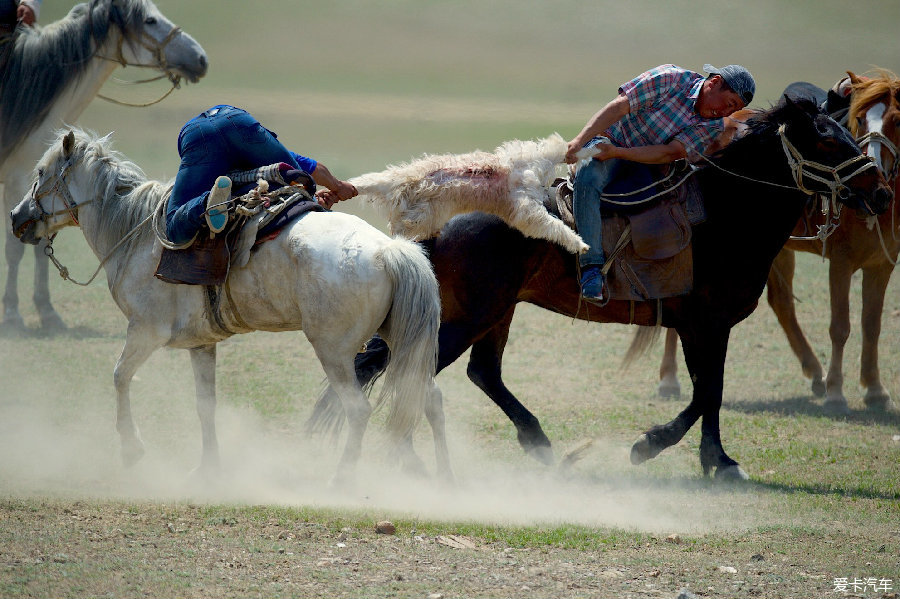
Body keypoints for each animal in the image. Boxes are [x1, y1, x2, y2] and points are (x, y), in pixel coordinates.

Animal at [1, 0, 207, 330]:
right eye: (149, 20)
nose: (200, 59)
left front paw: (46, 311)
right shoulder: (18, 177)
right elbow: (15, 249)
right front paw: (12, 314)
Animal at [10, 129, 450, 486]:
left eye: (40, 173)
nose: (16, 217)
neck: (135, 234)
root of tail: (390, 250)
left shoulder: (146, 330)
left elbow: (119, 376)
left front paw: (132, 450)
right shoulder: (200, 344)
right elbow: (205, 406)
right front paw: (208, 469)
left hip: (335, 352)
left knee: (358, 410)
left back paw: (341, 479)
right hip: (398, 341)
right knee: (429, 398)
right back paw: (445, 478)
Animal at [312, 99, 892, 482]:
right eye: (827, 139)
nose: (883, 193)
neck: (727, 212)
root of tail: (434, 218)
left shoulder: (700, 327)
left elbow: (710, 392)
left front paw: (713, 458)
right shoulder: (707, 323)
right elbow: (708, 391)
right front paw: (659, 447)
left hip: (495, 313)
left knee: (480, 372)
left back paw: (538, 443)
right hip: (469, 315)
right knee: (414, 370)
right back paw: (410, 455)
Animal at [652, 72, 900, 414]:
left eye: (897, 120)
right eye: (859, 119)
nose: (880, 192)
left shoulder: (882, 265)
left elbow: (871, 326)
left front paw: (875, 391)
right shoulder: (841, 262)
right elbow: (840, 326)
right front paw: (837, 393)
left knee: (780, 302)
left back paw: (814, 372)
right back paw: (668, 380)